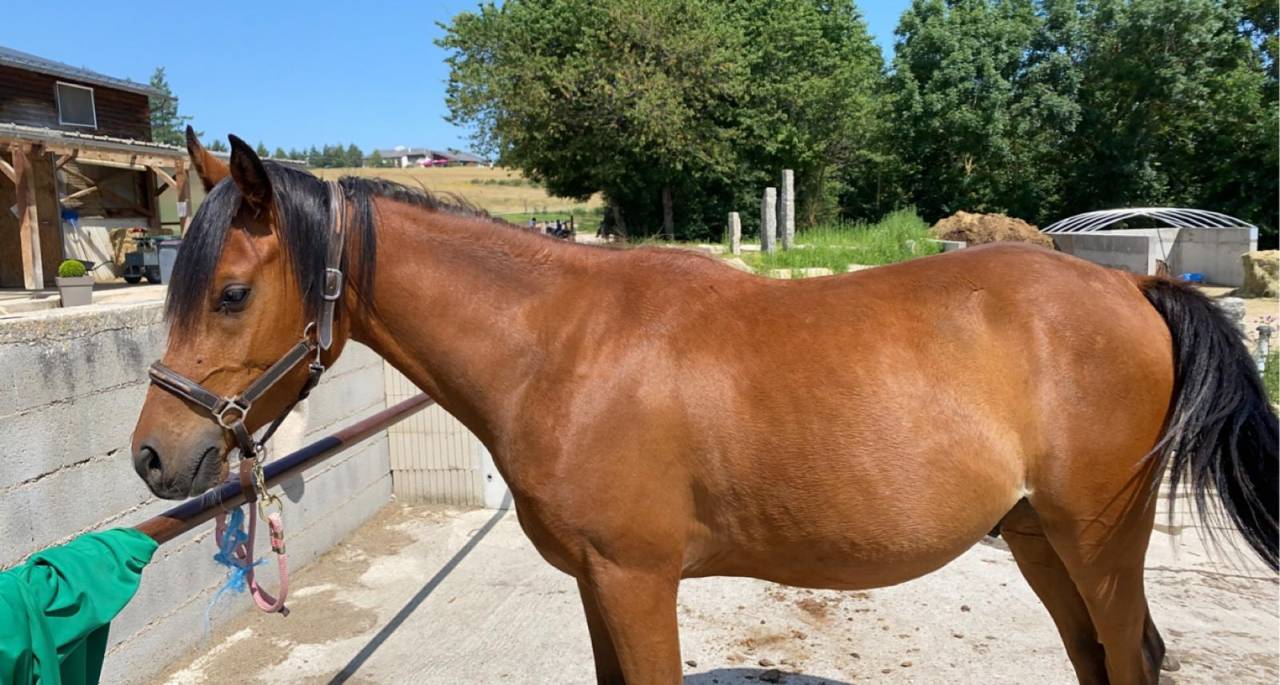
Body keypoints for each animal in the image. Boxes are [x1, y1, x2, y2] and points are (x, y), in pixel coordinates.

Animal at [131, 130, 1277, 685]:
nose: (151, 456)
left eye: (228, 292)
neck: (564, 344)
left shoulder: (639, 581)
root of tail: (1136, 287)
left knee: (1131, 656)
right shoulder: (601, 583)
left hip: (1095, 537)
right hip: (1039, 536)